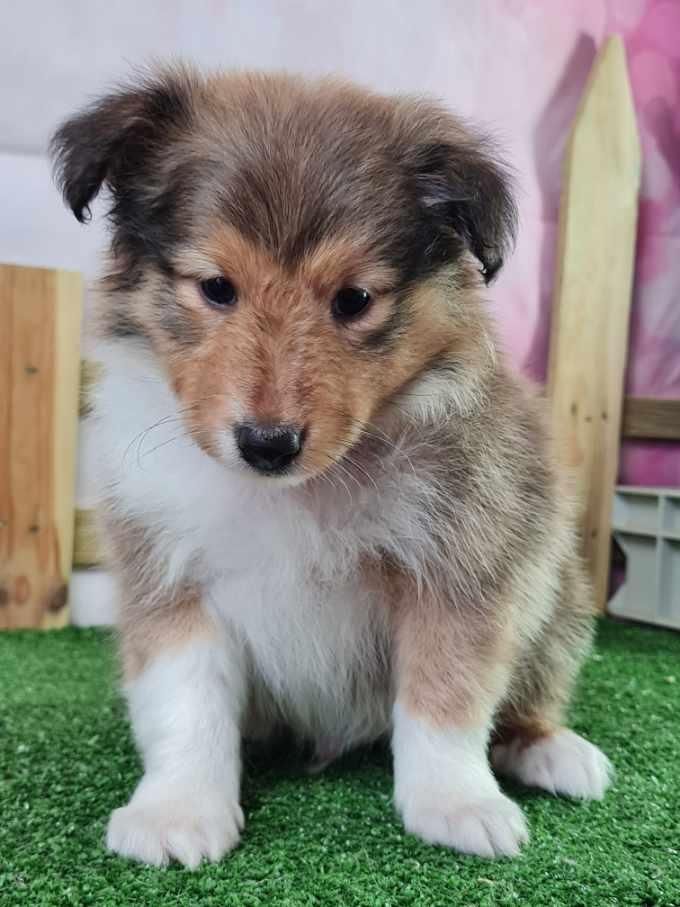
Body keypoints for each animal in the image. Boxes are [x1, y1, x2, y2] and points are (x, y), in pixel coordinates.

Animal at [51, 66, 612, 867]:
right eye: (215, 287)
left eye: (354, 300)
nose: (268, 443)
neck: (295, 492)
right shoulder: (168, 574)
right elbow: (187, 704)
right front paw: (177, 811)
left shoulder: (459, 568)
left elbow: (445, 698)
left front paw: (455, 805)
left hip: (554, 596)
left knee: (528, 698)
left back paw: (555, 751)